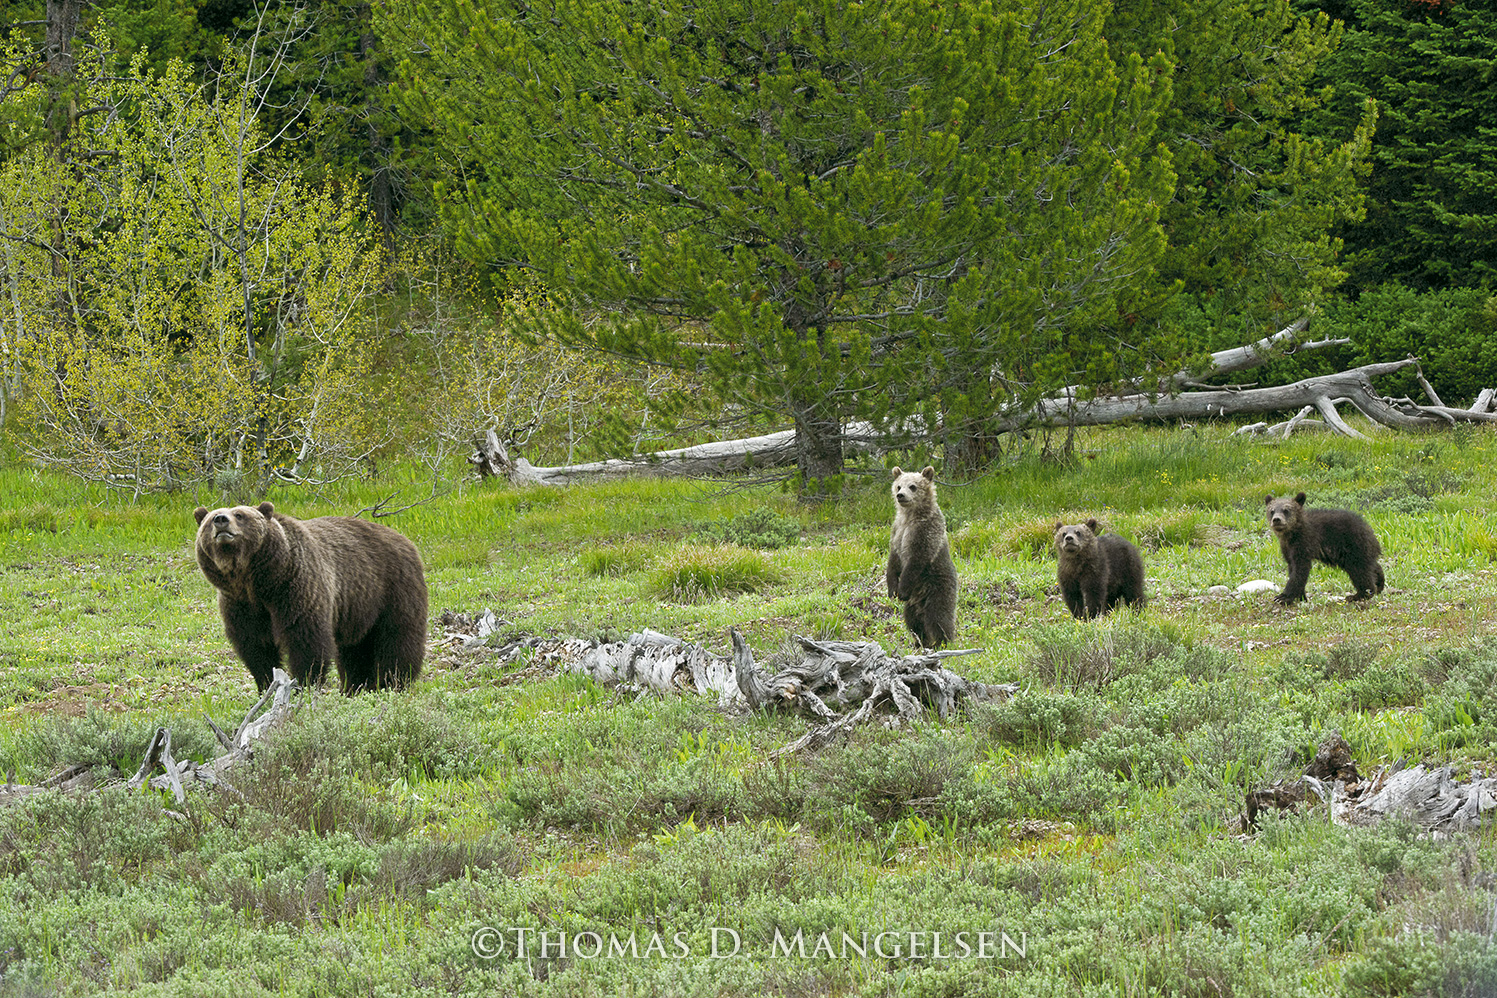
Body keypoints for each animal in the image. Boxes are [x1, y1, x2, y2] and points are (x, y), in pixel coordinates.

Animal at [194, 501, 428, 693]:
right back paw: (356, 687)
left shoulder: (295, 587)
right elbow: (255, 646)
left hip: (394, 587)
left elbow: (305, 637)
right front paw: (266, 685)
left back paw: (393, 682)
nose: (221, 520)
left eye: (240, 515)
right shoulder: (239, 603)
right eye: (210, 518)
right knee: (355, 650)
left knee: (398, 638)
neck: (257, 582)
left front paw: (303, 683)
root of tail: (405, 540)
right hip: (359, 607)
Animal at [886, 466, 959, 648]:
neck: (910, 516)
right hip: (913, 604)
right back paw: (920, 642)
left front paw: (902, 590)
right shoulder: (897, 530)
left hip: (938, 586)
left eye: (912, 486)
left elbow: (916, 560)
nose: (900, 495)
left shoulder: (925, 531)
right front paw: (892, 591)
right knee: (913, 620)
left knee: (938, 616)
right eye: (898, 486)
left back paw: (942, 642)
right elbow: (893, 560)